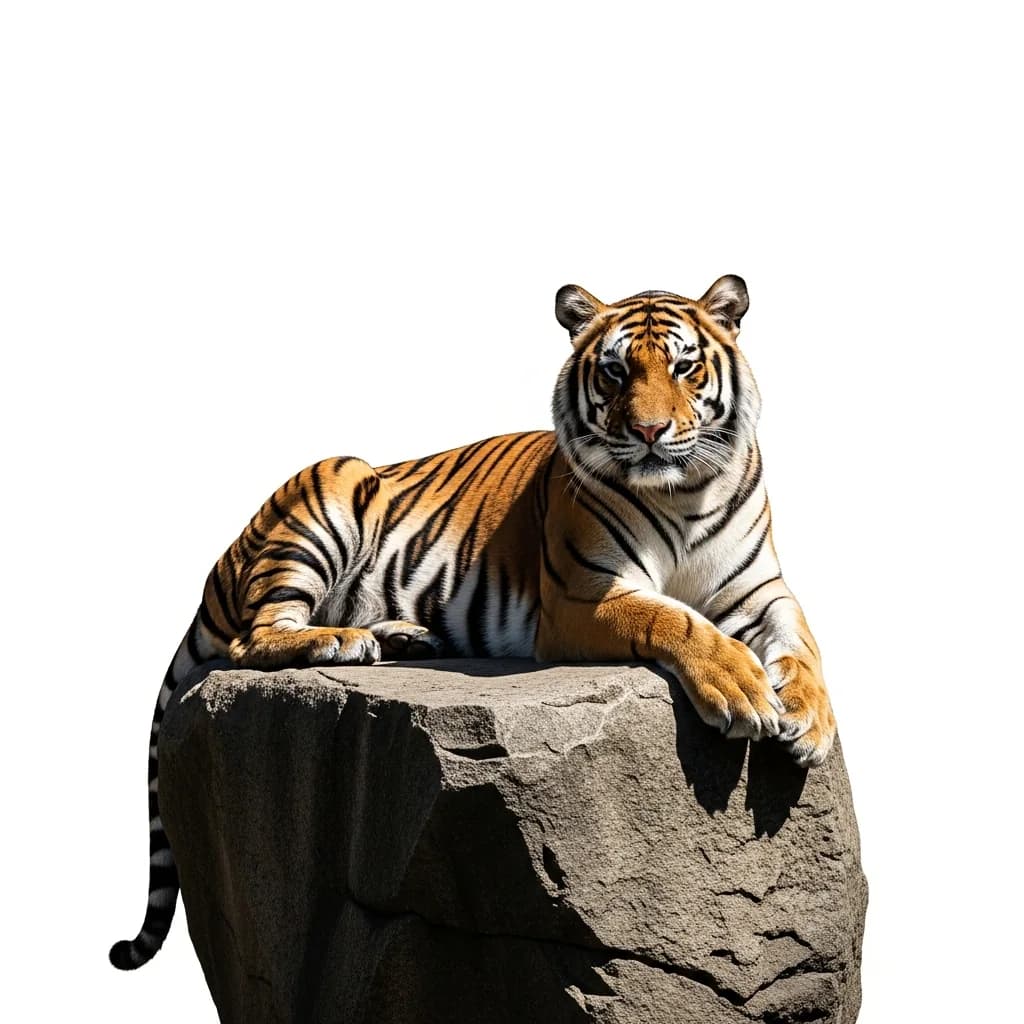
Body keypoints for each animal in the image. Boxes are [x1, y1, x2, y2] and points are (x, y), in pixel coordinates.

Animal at [110, 274, 836, 971]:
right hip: (332, 482)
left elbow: (804, 646)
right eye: (615, 372)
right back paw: (342, 642)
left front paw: (810, 722)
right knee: (253, 637)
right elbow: (675, 620)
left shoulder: (761, 591)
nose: (651, 432)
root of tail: (221, 566)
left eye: (685, 367)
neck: (683, 493)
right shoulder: (581, 594)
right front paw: (741, 692)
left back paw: (403, 636)